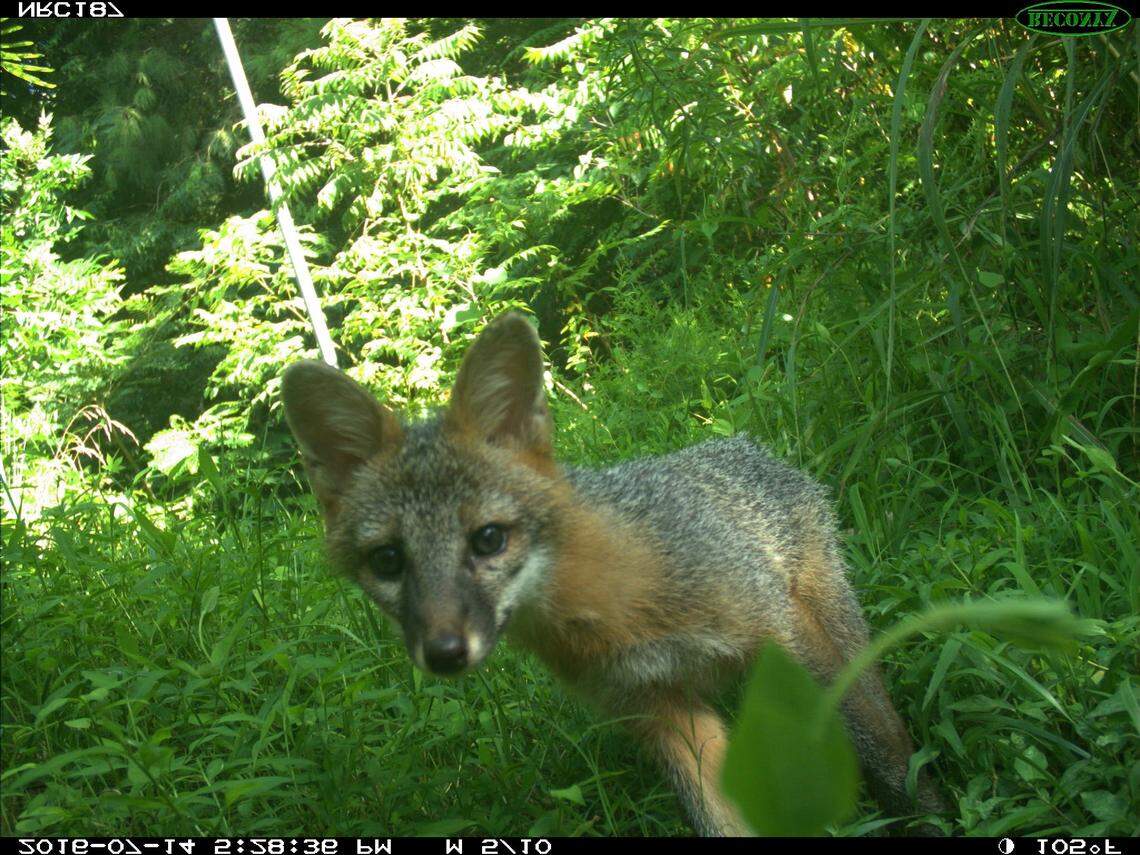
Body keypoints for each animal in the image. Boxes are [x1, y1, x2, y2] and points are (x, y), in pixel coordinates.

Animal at [281, 311, 946, 836]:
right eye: (388, 560)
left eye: (488, 539)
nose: (444, 653)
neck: (619, 613)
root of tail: (740, 447)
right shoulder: (660, 716)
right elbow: (719, 819)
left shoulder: (780, 636)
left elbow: (883, 752)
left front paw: (932, 818)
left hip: (834, 628)